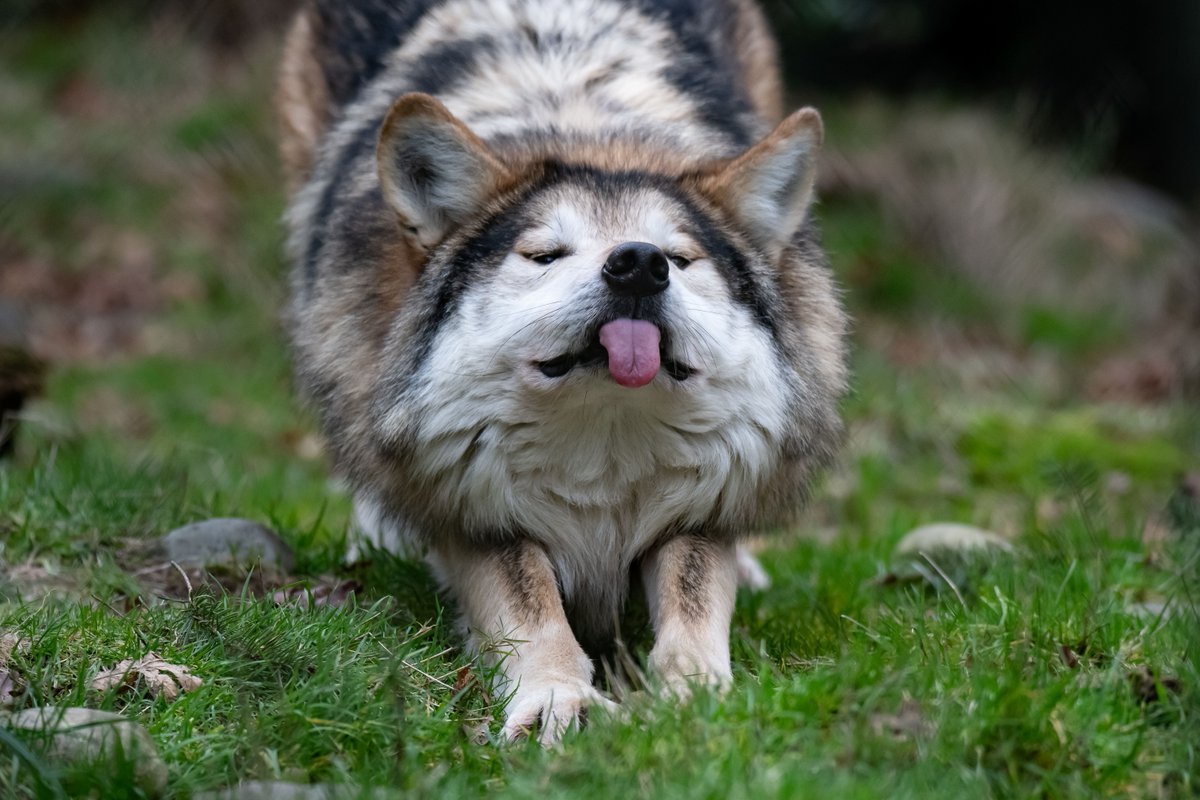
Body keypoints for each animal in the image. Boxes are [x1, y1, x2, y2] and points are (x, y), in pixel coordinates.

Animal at [278, 0, 847, 742]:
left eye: (680, 258)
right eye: (544, 255)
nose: (638, 263)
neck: (601, 453)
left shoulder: (699, 499)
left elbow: (694, 599)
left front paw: (697, 698)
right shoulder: (478, 508)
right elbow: (529, 611)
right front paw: (557, 698)